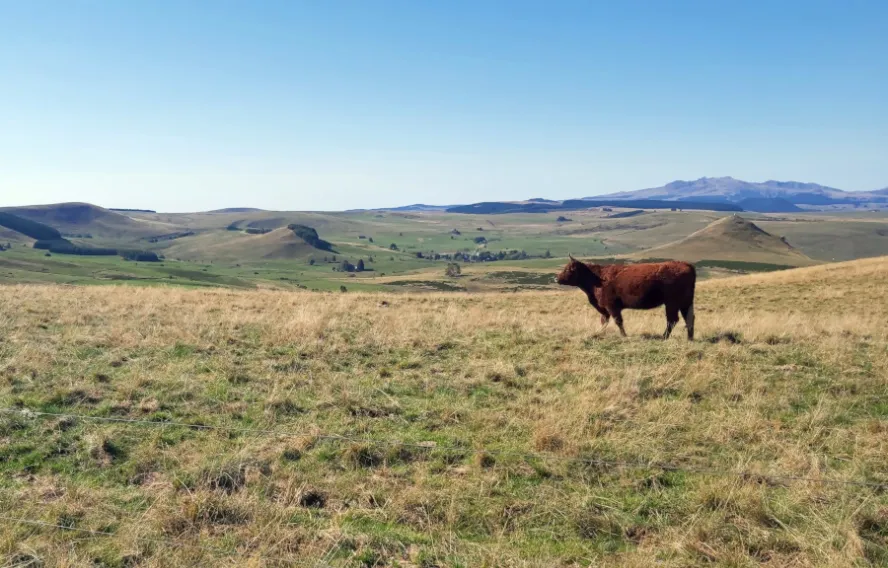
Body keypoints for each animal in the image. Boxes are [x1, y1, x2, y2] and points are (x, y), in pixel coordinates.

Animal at [555, 256, 696, 340]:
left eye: (568, 269)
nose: (557, 279)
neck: (597, 278)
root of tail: (687, 265)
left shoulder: (612, 306)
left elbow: (618, 321)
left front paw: (624, 335)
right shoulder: (605, 308)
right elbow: (604, 320)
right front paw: (599, 332)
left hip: (672, 303)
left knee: (672, 320)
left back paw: (664, 337)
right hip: (685, 303)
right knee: (689, 317)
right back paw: (689, 338)